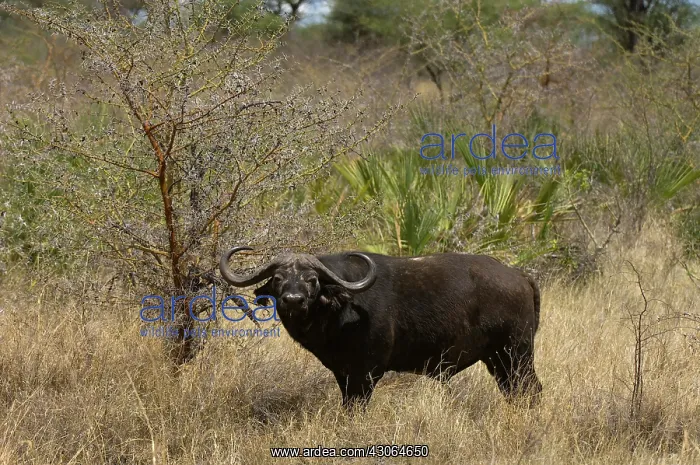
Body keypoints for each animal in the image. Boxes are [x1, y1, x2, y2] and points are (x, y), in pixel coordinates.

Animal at [220, 246, 542, 408]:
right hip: (498, 360)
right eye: (278, 279)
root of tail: (518, 275)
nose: (293, 300)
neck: (342, 308)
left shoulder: (366, 372)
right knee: (514, 392)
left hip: (517, 355)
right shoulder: (343, 372)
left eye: (312, 280)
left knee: (531, 390)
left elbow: (357, 406)